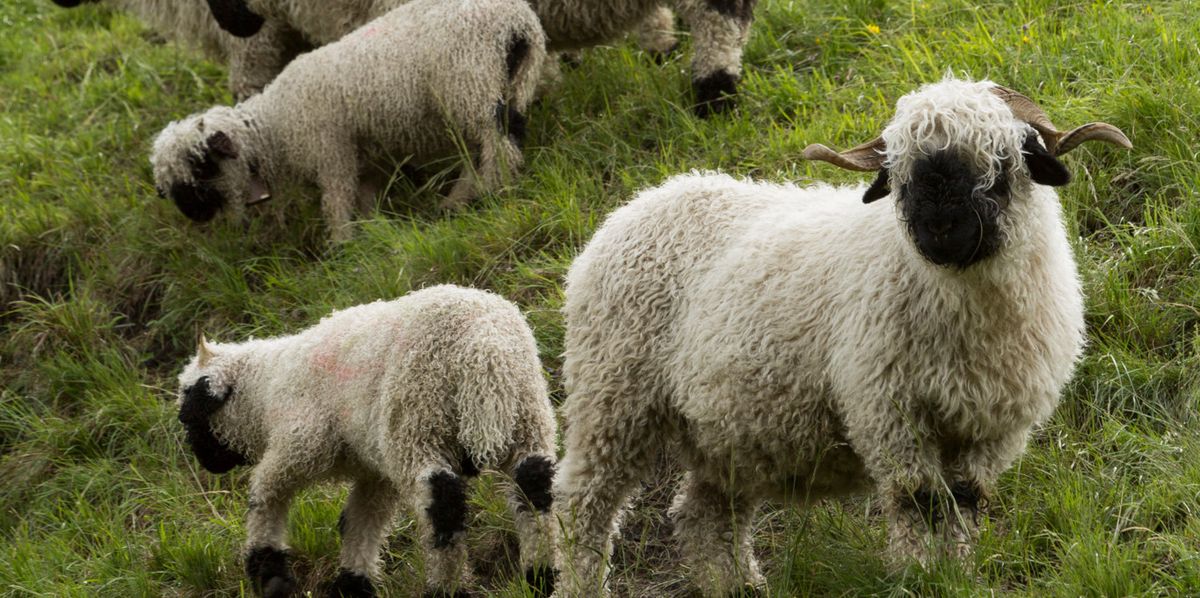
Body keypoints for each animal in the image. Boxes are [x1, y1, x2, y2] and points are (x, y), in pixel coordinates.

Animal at [149, 0, 545, 243]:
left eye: (201, 165)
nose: (194, 214)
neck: (274, 123)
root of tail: (518, 23)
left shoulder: (331, 151)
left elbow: (336, 200)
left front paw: (341, 245)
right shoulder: (362, 155)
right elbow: (364, 198)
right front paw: (372, 233)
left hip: (472, 87)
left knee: (498, 147)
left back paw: (486, 191)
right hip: (509, 84)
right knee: (497, 141)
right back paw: (460, 199)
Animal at [175, 285, 559, 597]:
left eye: (190, 413)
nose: (202, 459)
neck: (265, 391)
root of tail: (485, 349)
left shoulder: (302, 441)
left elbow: (266, 493)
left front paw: (268, 573)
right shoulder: (375, 473)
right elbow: (362, 522)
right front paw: (352, 584)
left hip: (417, 423)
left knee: (442, 504)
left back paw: (446, 588)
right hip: (528, 416)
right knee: (535, 488)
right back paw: (542, 576)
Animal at [551, 77, 1131, 596]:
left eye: (1003, 160)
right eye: (899, 172)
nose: (940, 228)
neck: (968, 311)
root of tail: (638, 205)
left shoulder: (995, 426)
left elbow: (964, 500)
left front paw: (959, 573)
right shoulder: (888, 410)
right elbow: (919, 501)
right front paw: (925, 575)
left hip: (724, 428)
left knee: (704, 512)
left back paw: (737, 585)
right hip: (614, 394)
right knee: (582, 505)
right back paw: (584, 582)